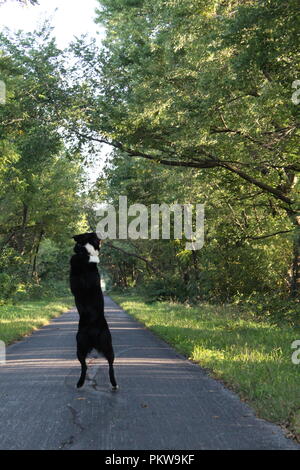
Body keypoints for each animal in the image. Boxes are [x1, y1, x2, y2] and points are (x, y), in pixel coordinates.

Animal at [69, 231, 118, 390]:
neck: (86, 252)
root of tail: (93, 334)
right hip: (83, 347)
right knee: (87, 366)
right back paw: (81, 382)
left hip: (102, 345)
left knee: (108, 365)